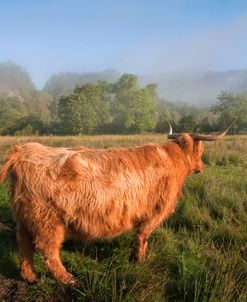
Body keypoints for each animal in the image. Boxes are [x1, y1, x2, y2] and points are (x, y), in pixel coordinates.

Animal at [0, 121, 233, 284]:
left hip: (25, 217)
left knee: (24, 245)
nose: (201, 167)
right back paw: (67, 278)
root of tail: (24, 150)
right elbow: (142, 235)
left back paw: (30, 277)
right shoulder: (155, 211)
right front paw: (139, 258)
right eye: (201, 151)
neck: (172, 159)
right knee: (47, 248)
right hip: (47, 219)